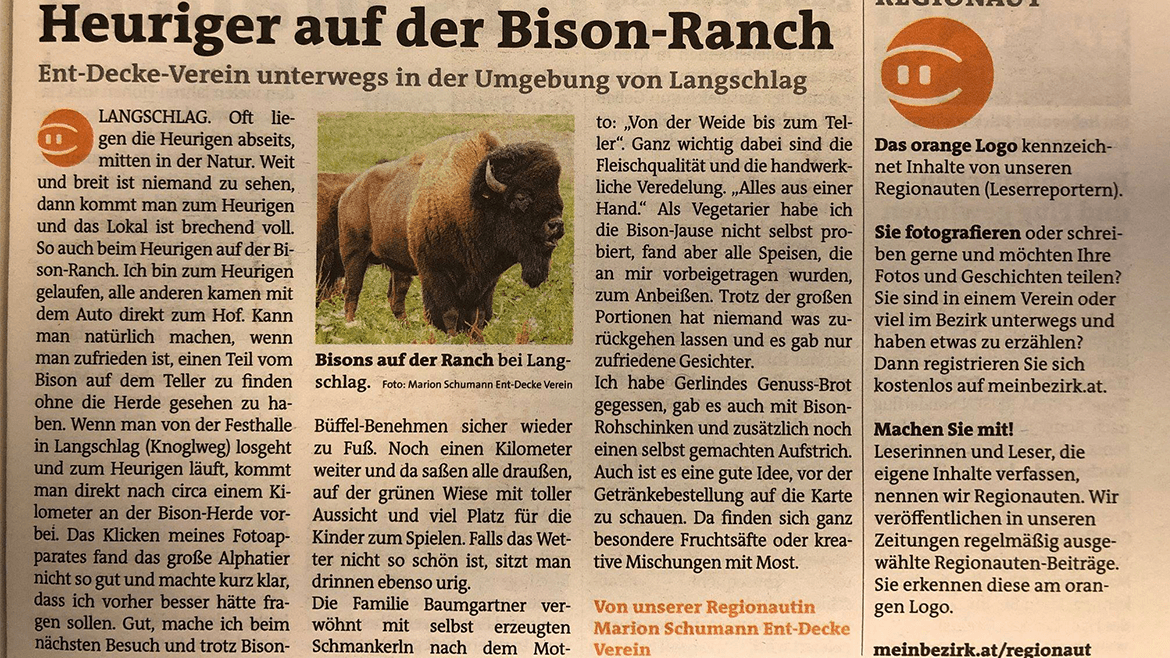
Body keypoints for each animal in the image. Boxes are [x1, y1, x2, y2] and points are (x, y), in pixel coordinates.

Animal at [331, 131, 565, 335]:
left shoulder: (486, 279)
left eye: (556, 192)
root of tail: (351, 190)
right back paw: (350, 325)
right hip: (354, 255)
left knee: (395, 298)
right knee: (352, 291)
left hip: (399, 266)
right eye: (520, 196)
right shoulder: (436, 274)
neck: (472, 202)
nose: (556, 225)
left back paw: (405, 329)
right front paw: (452, 337)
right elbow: (449, 313)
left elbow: (479, 316)